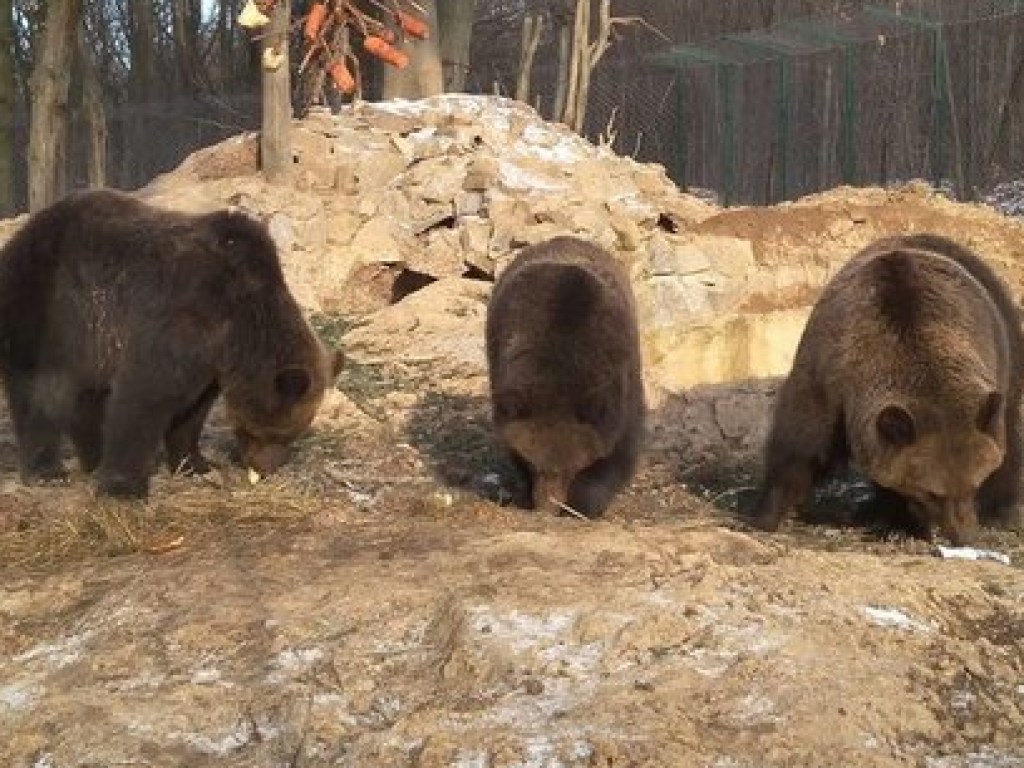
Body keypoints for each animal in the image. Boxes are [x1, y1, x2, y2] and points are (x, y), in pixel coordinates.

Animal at [0, 189, 344, 495]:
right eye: (275, 432)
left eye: (293, 434)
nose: (265, 467)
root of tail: (18, 239)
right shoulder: (179, 318)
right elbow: (144, 395)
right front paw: (125, 486)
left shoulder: (209, 361)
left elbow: (192, 411)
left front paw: (196, 464)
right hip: (49, 308)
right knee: (41, 393)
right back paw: (47, 471)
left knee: (86, 396)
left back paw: (92, 459)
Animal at [483, 237, 643, 520]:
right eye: (532, 463)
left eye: (572, 468)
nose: (546, 507)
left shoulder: (618, 387)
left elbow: (617, 452)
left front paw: (583, 505)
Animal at [749, 234, 1019, 548]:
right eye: (933, 492)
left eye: (974, 483)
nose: (963, 536)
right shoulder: (827, 376)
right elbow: (801, 443)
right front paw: (766, 513)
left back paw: (999, 509)